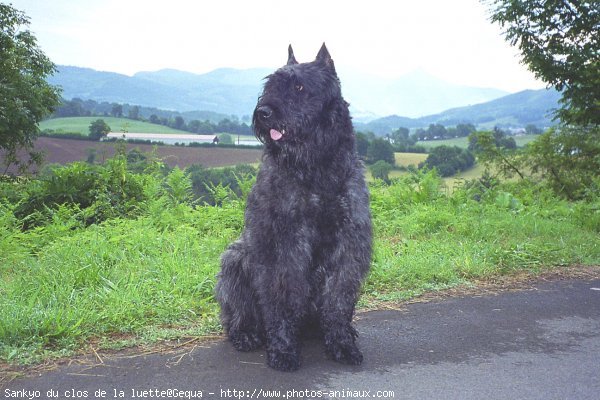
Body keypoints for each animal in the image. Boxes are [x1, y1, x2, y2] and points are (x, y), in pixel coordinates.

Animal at [216, 43, 370, 372]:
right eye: (270, 85)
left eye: (299, 87)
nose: (264, 112)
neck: (317, 169)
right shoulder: (284, 246)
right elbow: (282, 299)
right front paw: (283, 349)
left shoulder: (348, 245)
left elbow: (338, 299)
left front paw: (341, 343)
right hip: (234, 260)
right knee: (239, 311)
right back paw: (246, 333)